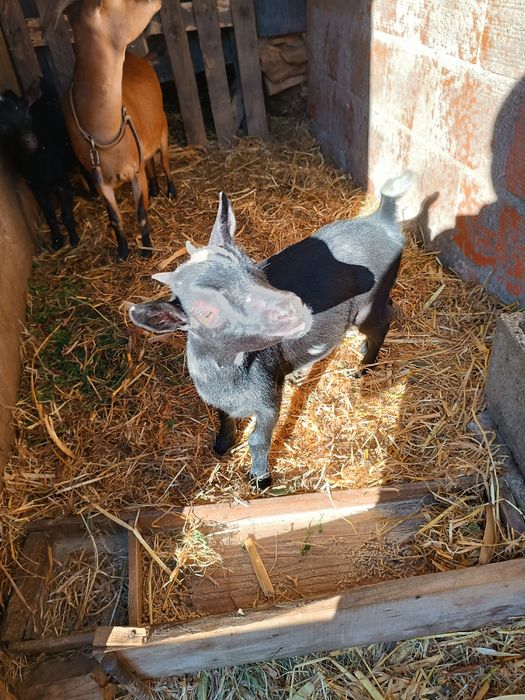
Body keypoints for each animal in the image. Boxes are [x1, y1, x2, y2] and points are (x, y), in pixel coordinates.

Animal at [0, 78, 80, 250]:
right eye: (3, 128)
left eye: (28, 115)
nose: (30, 142)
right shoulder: (34, 185)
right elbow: (49, 214)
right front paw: (57, 241)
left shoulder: (60, 179)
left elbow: (65, 214)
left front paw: (74, 239)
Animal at [45, 0, 176, 260]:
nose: (156, 1)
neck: (103, 130)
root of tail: (141, 59)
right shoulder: (100, 180)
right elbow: (114, 219)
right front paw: (123, 252)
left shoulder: (134, 171)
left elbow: (141, 215)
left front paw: (146, 250)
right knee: (150, 161)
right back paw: (156, 189)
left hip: (164, 128)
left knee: (165, 162)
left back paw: (170, 191)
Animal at [129, 173, 414, 487]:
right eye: (206, 311)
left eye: (255, 272)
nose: (292, 307)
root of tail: (382, 219)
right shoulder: (221, 401)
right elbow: (224, 420)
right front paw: (222, 446)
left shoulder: (268, 398)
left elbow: (258, 440)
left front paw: (259, 478)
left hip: (366, 306)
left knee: (382, 322)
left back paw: (363, 369)